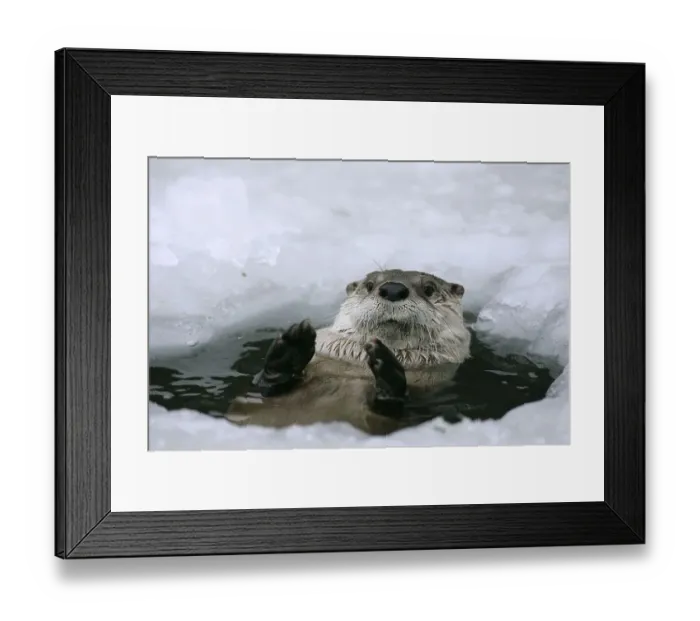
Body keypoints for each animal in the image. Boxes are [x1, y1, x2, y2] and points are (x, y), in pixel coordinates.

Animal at [225, 269, 471, 435]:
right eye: (370, 284)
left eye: (429, 289)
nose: (393, 289)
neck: (354, 367)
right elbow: (267, 387)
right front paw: (291, 350)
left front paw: (387, 368)